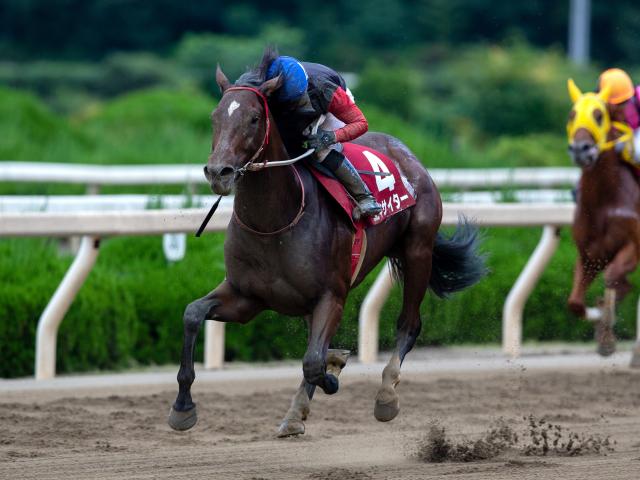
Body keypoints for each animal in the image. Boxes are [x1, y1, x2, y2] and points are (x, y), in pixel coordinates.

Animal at [169, 57, 484, 436]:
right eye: (215, 116)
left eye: (254, 118)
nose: (219, 172)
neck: (274, 223)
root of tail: (406, 153)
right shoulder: (247, 297)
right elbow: (192, 314)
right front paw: (182, 407)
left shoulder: (331, 296)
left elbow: (314, 363)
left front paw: (332, 374)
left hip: (417, 250)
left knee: (409, 324)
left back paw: (385, 396)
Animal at [568, 79, 640, 364]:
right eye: (572, 114)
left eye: (599, 115)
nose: (580, 150)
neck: (603, 202)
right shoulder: (588, 255)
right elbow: (575, 303)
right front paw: (601, 330)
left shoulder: (632, 248)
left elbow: (612, 280)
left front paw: (606, 335)